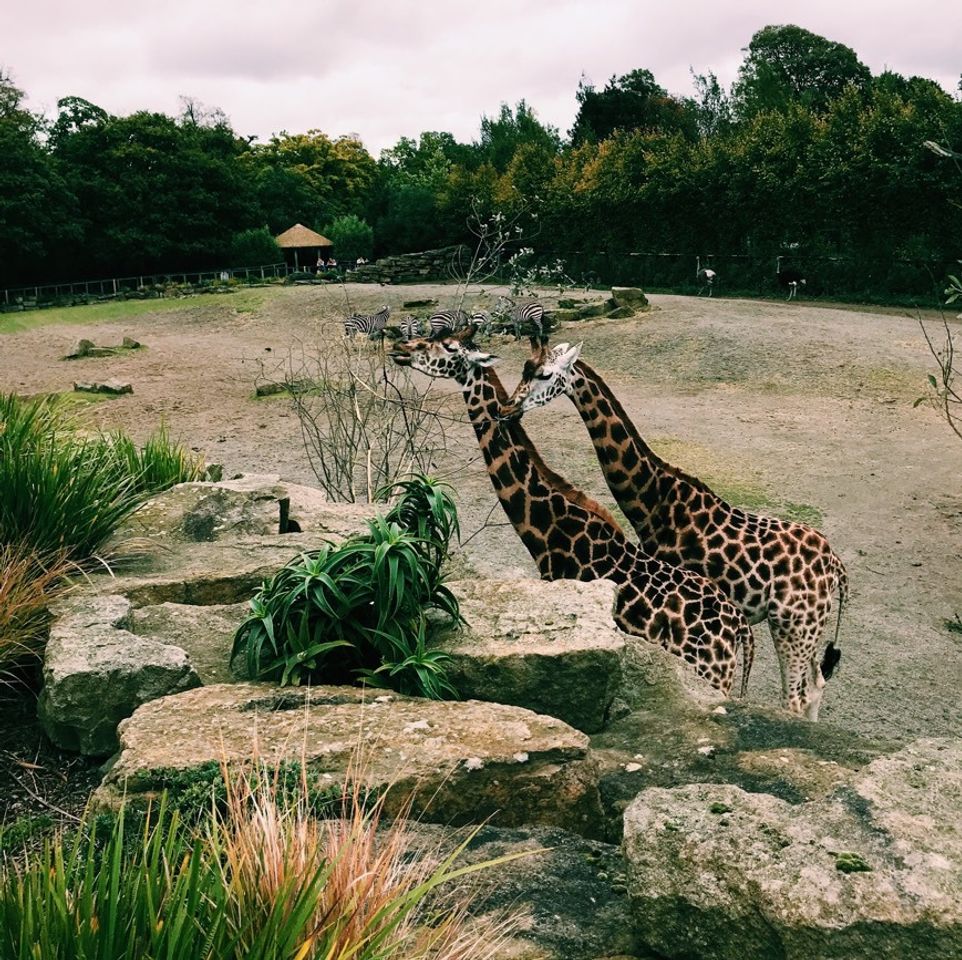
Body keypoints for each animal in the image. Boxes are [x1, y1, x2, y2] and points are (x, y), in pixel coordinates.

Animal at [498, 338, 844, 720]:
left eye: (545, 374)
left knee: (795, 698)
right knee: (816, 685)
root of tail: (836, 569)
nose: (508, 409)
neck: (653, 500)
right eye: (524, 370)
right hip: (809, 629)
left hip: (792, 625)